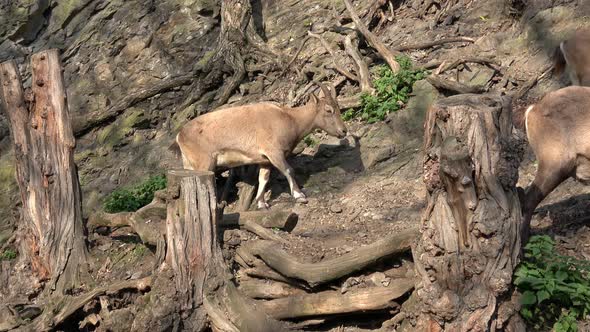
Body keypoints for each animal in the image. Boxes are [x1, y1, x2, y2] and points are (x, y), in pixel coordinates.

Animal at [172, 83, 346, 208]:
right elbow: (289, 169)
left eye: (338, 108)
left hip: (189, 164)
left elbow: (263, 178)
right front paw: (299, 196)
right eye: (328, 110)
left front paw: (262, 203)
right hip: (204, 162)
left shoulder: (265, 160)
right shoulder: (274, 152)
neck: (289, 119)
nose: (343, 131)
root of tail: (180, 135)